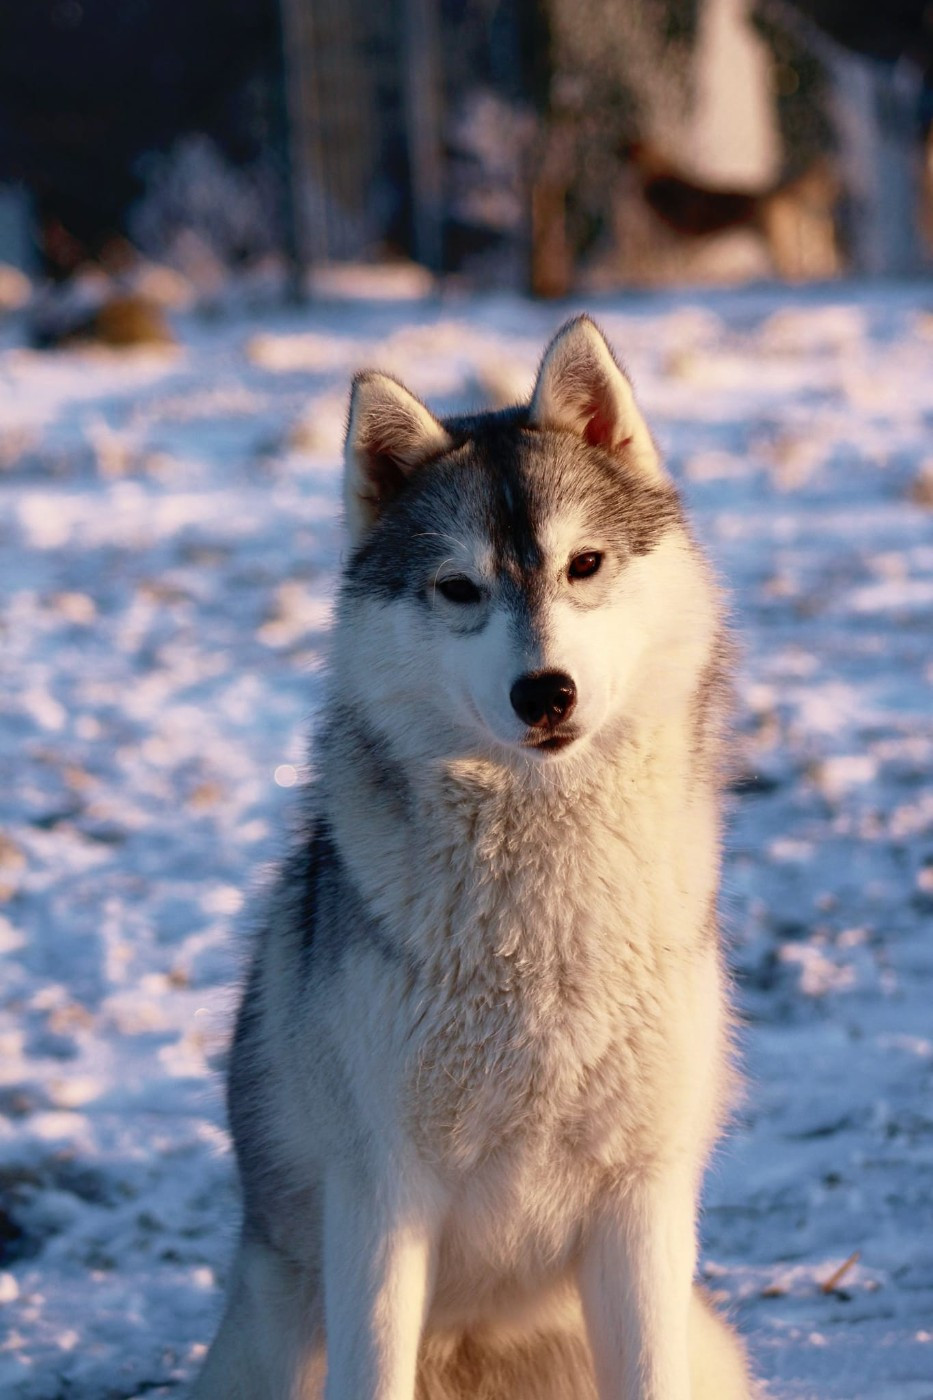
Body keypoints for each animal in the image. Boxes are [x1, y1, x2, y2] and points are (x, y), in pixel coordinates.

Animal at [192, 316, 755, 1400]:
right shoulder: (382, 1199)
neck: (541, 928)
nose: (546, 691)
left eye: (584, 564)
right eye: (459, 588)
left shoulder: (640, 1198)